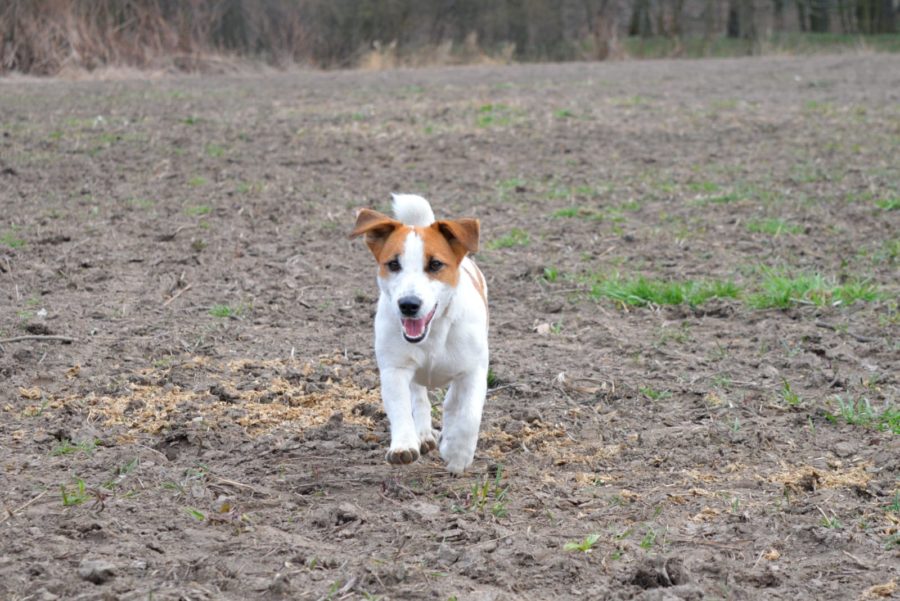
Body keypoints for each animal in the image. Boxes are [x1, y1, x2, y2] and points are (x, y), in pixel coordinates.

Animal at [352, 192, 492, 474]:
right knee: (419, 398)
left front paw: (457, 453)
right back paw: (424, 435)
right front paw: (404, 446)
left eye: (436, 264)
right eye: (393, 264)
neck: (434, 333)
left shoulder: (474, 370)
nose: (408, 304)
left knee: (452, 403)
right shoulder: (394, 368)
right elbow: (401, 408)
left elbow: (469, 414)